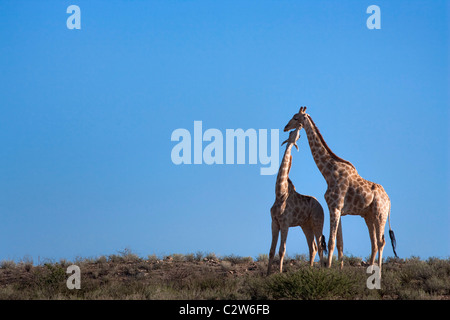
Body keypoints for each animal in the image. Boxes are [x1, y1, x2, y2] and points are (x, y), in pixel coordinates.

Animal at [268, 127, 326, 276]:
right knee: (313, 247)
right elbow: (271, 251)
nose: (299, 128)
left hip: (318, 222)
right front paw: (267, 274)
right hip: (305, 225)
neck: (280, 193)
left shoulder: (285, 223)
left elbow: (282, 250)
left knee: (319, 246)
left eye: (298, 135)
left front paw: (280, 272)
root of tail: (321, 206)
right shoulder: (274, 222)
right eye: (291, 133)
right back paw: (310, 270)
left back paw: (322, 271)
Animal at [284, 107, 398, 272]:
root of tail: (389, 200)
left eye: (295, 117)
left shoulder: (335, 207)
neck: (329, 173)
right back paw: (370, 268)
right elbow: (340, 243)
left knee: (381, 241)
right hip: (368, 216)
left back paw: (378, 270)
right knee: (374, 242)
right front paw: (339, 268)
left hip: (380, 214)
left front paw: (329, 268)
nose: (285, 127)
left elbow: (331, 242)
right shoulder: (337, 209)